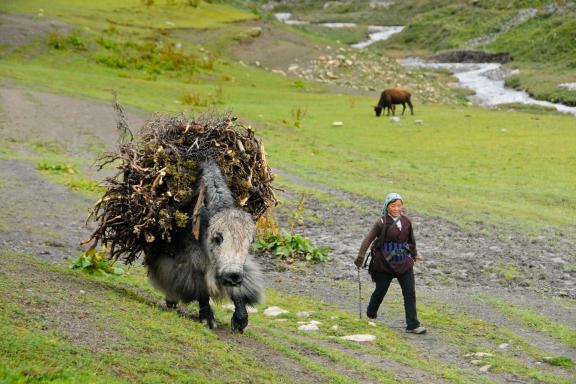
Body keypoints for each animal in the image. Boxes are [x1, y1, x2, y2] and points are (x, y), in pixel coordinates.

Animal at [145, 159, 262, 332]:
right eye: (217, 238)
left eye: (250, 241)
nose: (232, 276)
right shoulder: (193, 257)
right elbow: (200, 285)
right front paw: (207, 318)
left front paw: (240, 320)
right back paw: (172, 299)